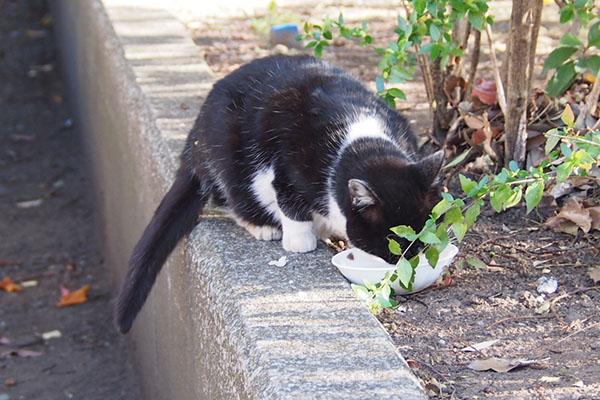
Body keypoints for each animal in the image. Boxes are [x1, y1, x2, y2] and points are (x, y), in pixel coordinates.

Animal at [115, 54, 442, 334]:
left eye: (424, 233)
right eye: (391, 242)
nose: (412, 257)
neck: (359, 141)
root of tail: (194, 136)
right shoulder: (285, 165)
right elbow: (290, 203)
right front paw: (299, 240)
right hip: (228, 155)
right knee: (229, 196)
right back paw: (263, 225)